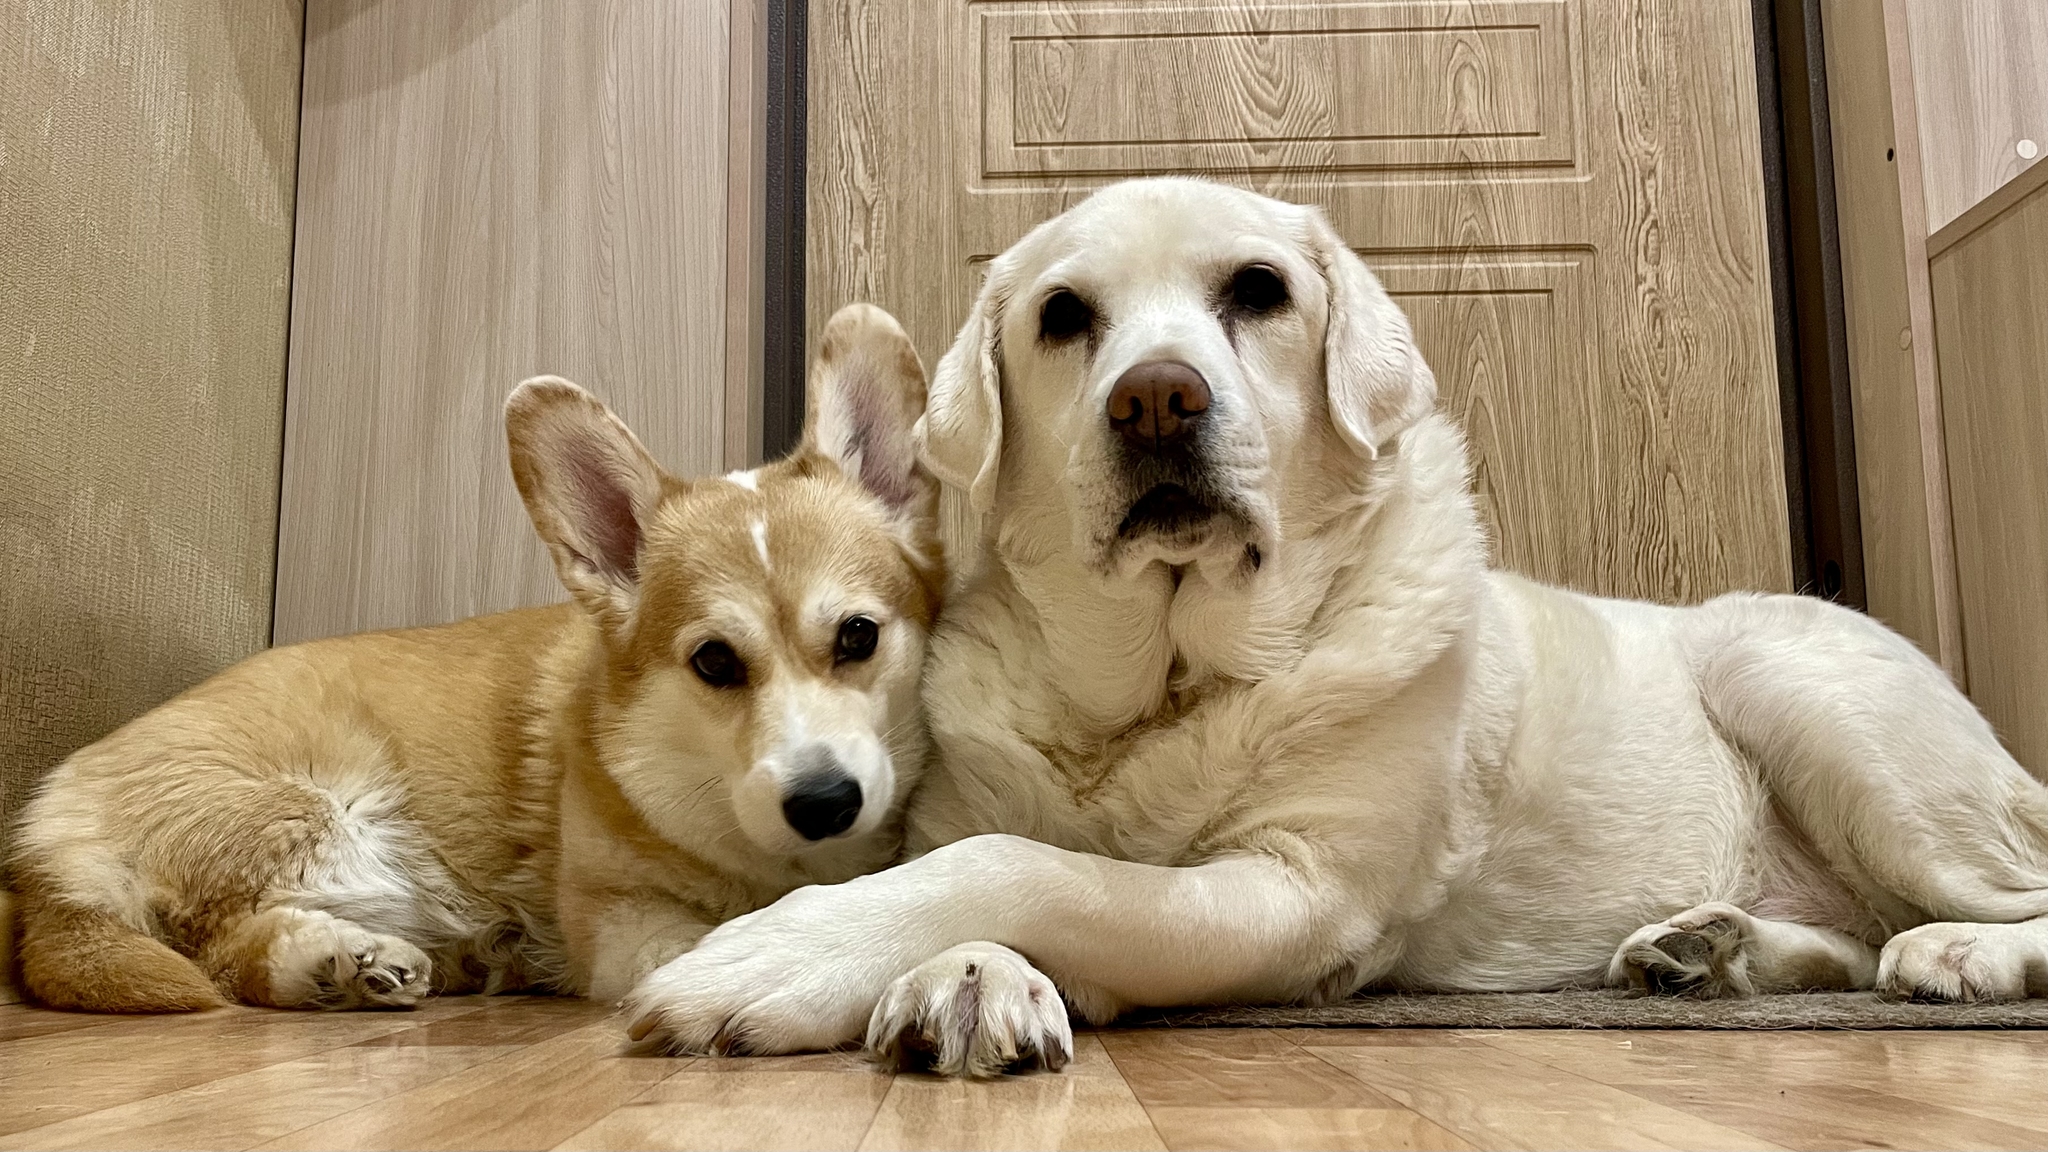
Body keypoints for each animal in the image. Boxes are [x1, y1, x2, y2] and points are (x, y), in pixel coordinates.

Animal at [4, 303, 937, 1004]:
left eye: (858, 636)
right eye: (714, 662)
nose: (825, 802)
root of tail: (46, 834)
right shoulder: (635, 930)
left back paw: (358, 968)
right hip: (326, 819)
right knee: (216, 945)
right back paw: (344, 960)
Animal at [618, 175, 2048, 1074]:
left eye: (1256, 291)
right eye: (1062, 316)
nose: (1154, 400)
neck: (1160, 690)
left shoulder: (1296, 898)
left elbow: (1035, 869)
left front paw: (785, 957)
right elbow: (994, 852)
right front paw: (964, 979)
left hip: (1807, 695)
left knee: (1988, 898)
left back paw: (1958, 953)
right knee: (1845, 938)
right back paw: (1706, 949)